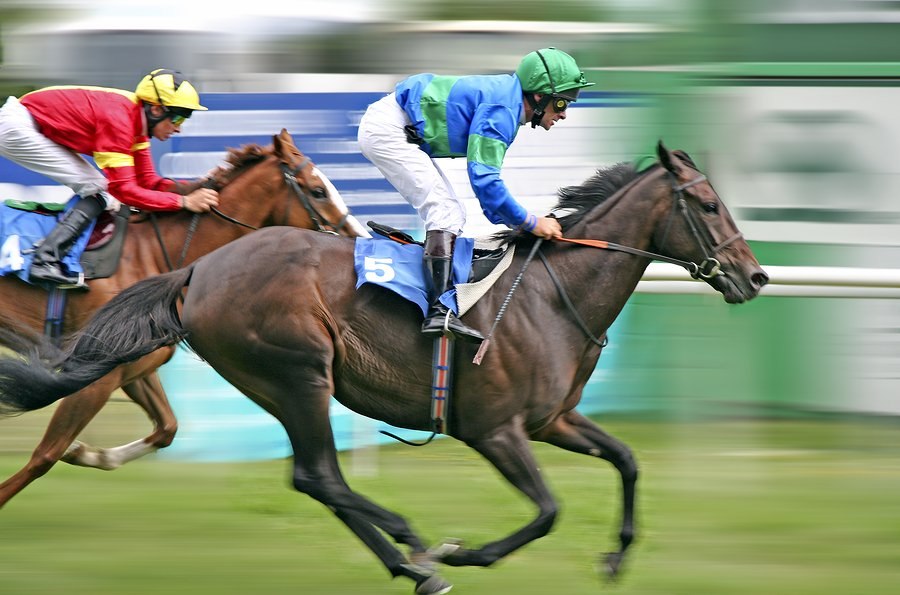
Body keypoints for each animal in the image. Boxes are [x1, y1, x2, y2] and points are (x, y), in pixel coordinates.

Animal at [0, 128, 370, 510]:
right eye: (318, 190)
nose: (361, 240)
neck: (152, 254)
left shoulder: (129, 365)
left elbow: (167, 428)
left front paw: (89, 453)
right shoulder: (94, 373)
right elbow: (46, 454)